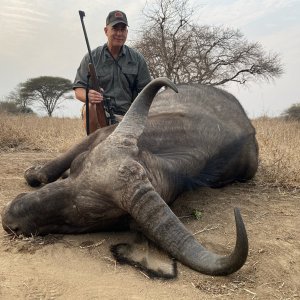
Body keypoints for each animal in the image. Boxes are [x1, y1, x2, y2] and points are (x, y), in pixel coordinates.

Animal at [1, 78, 258, 278]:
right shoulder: (100, 135)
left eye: (90, 213)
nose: (9, 216)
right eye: (77, 166)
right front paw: (34, 172)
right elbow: (48, 169)